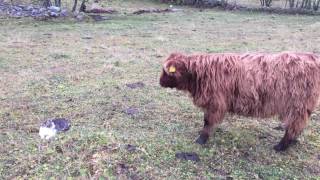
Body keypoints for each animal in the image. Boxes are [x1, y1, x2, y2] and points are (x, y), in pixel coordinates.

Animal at [160, 51, 320, 151]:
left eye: (166, 72)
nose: (160, 82)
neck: (198, 75)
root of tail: (311, 57)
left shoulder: (215, 102)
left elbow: (207, 121)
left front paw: (201, 139)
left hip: (297, 106)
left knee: (294, 126)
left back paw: (280, 147)